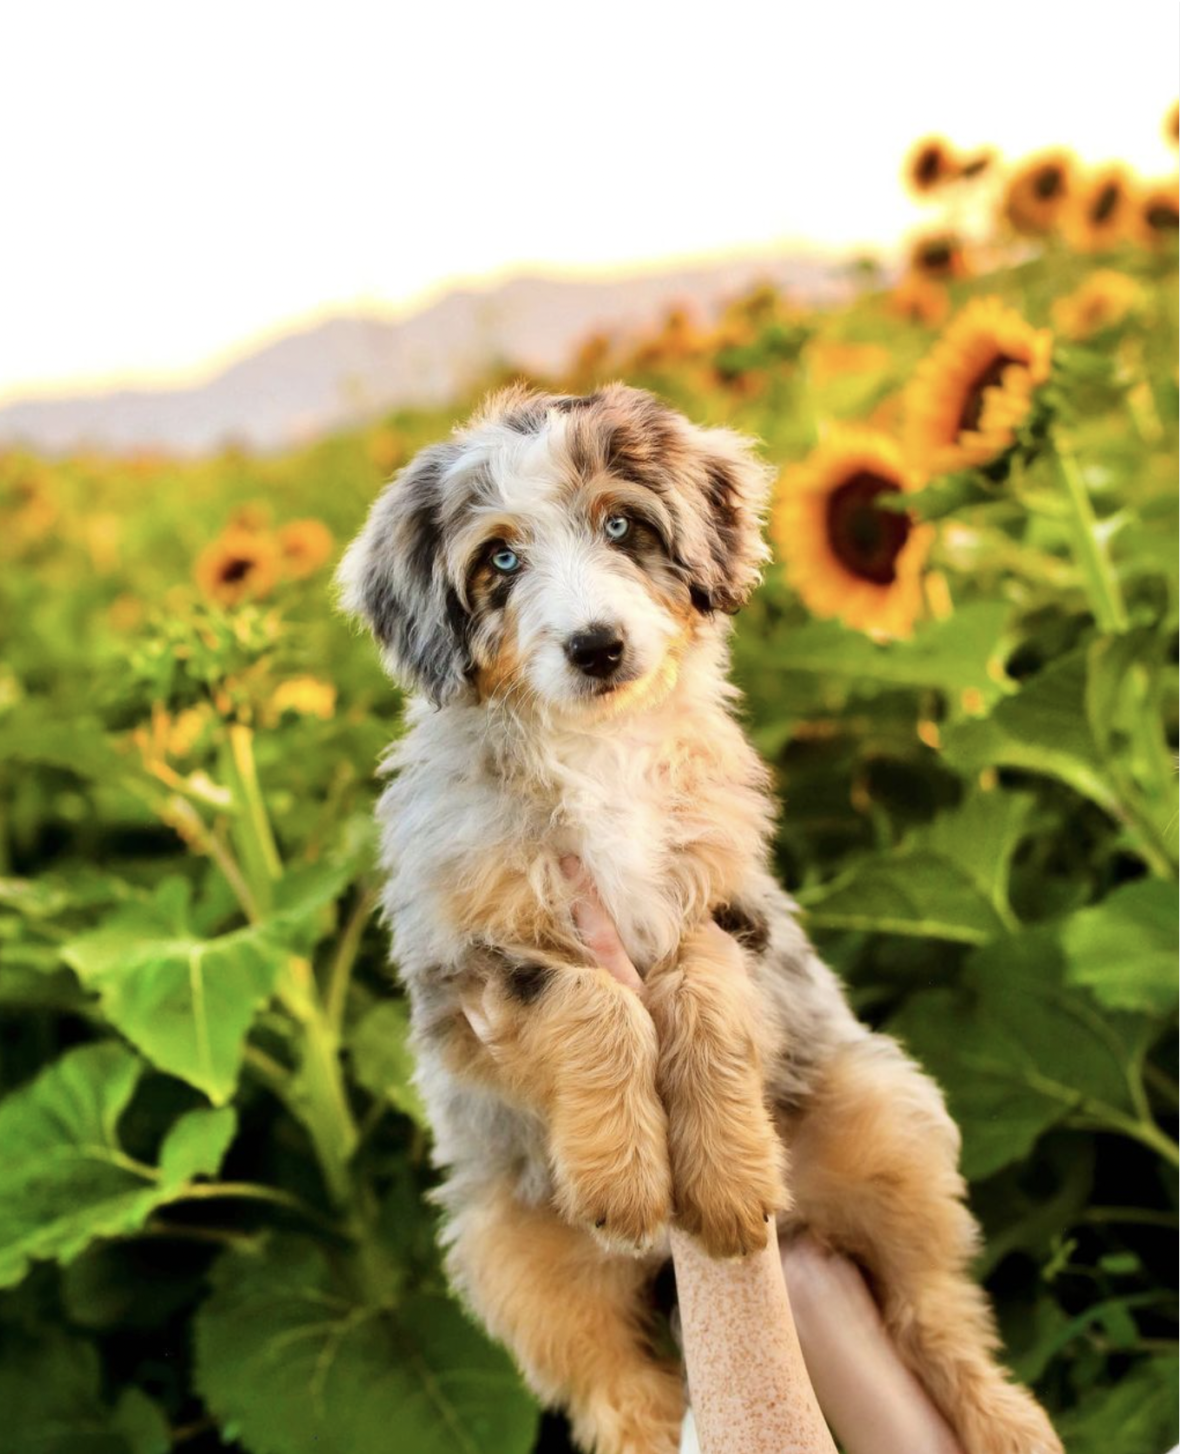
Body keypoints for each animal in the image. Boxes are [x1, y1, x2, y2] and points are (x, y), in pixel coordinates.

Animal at [338, 380, 1057, 1448]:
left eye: (621, 525)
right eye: (500, 560)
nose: (597, 646)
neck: (598, 749)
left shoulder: (733, 906)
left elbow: (698, 994)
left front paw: (722, 1184)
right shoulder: (468, 960)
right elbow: (593, 1000)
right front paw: (626, 1178)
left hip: (890, 1122)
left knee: (935, 1311)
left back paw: (1007, 1421)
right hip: (512, 1256)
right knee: (620, 1395)